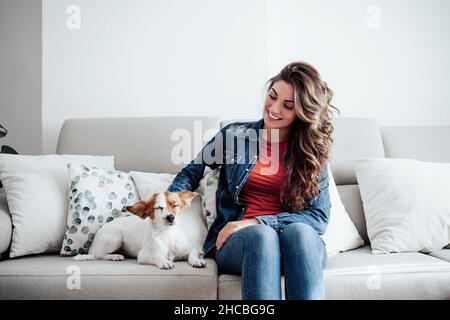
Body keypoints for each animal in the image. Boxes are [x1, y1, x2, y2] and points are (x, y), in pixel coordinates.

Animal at [74, 191, 207, 268]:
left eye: (175, 205)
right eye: (159, 208)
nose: (170, 217)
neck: (166, 234)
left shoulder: (189, 249)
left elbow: (192, 254)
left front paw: (196, 261)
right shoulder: (143, 255)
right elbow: (157, 256)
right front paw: (164, 261)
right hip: (116, 236)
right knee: (98, 255)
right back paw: (115, 256)